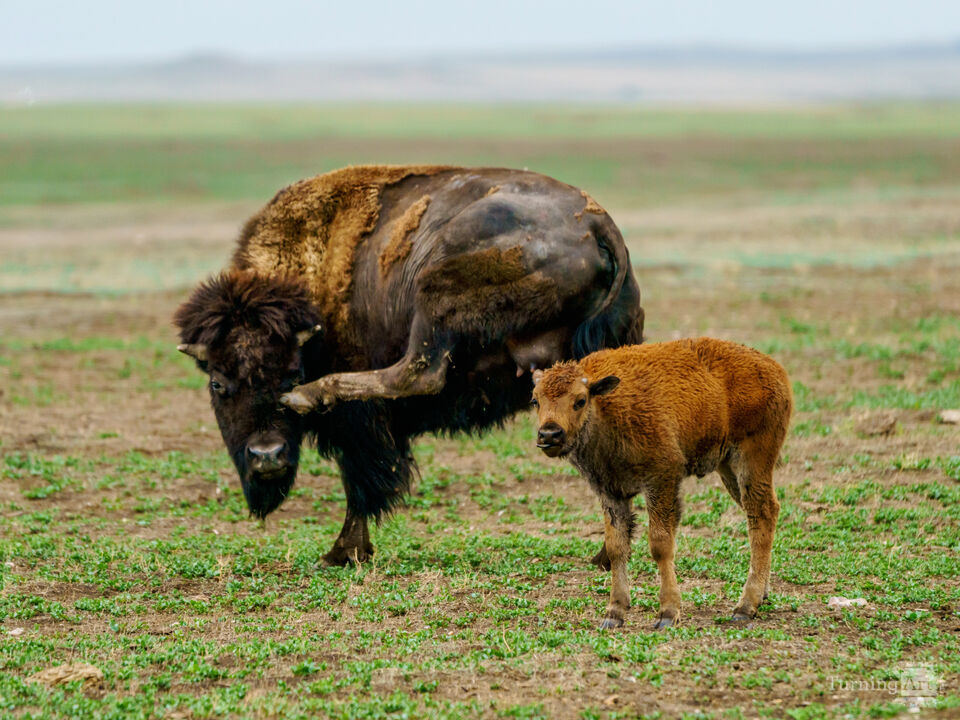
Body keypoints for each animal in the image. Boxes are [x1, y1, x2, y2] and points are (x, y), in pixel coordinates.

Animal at [175, 165, 644, 566]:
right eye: (218, 384)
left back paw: (313, 395)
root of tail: (597, 225)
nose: (266, 455)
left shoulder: (359, 427)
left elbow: (361, 481)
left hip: (434, 289)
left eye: (291, 372)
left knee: (420, 372)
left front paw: (342, 553)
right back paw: (606, 555)